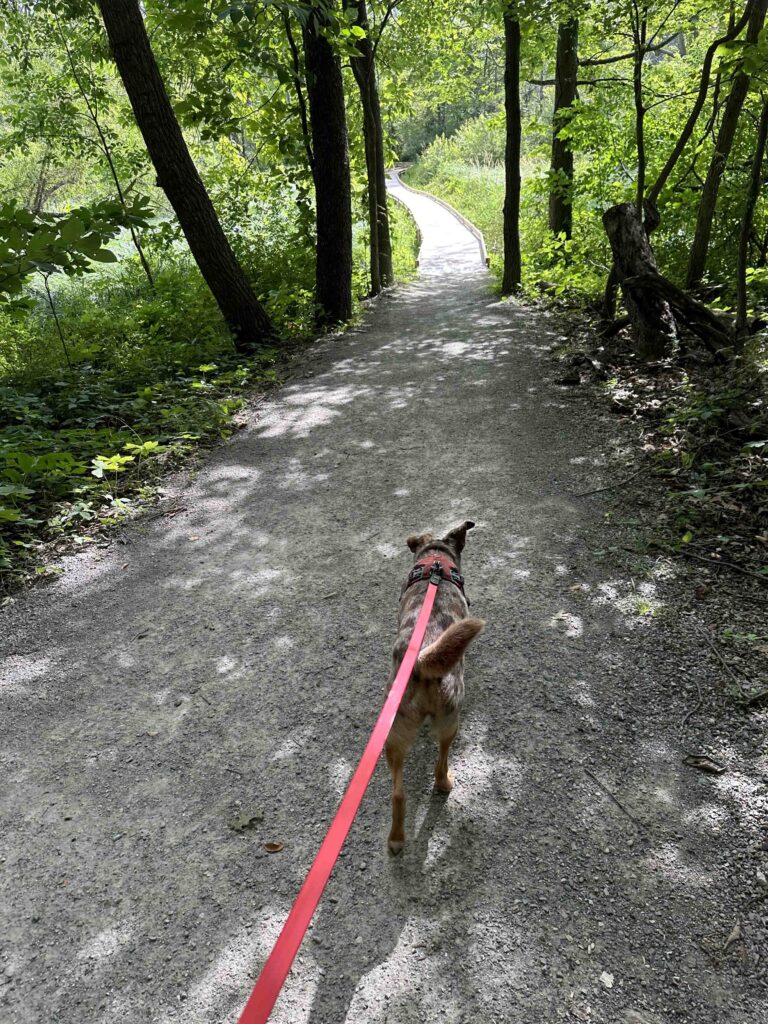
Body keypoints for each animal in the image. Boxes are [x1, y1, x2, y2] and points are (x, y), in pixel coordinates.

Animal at [385, 520, 487, 847]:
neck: (436, 562)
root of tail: (421, 660)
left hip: (394, 736)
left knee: (398, 794)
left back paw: (396, 840)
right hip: (449, 723)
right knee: (441, 764)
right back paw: (445, 783)